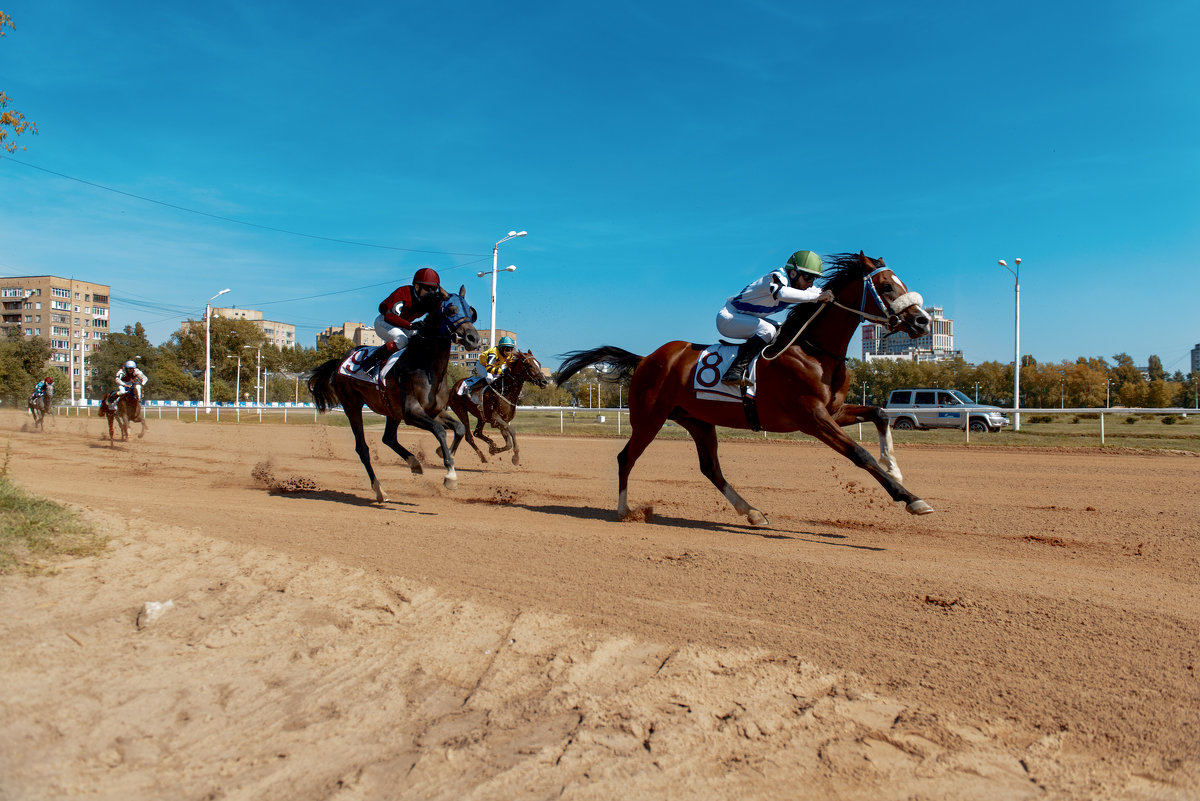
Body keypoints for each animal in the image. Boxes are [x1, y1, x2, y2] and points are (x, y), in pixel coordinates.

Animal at [307, 286, 480, 501]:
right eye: (451, 310)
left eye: (471, 311)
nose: (474, 338)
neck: (426, 364)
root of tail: (341, 360)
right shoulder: (411, 413)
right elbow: (439, 431)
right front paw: (450, 475)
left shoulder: (434, 411)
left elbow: (459, 428)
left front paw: (444, 453)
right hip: (352, 406)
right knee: (362, 448)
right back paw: (380, 490)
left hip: (391, 411)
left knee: (388, 438)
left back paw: (414, 463)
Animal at [554, 250, 936, 525]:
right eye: (886, 287)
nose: (922, 321)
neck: (812, 350)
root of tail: (648, 357)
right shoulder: (811, 417)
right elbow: (860, 453)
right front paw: (912, 499)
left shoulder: (835, 410)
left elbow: (881, 412)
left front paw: (895, 466)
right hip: (649, 417)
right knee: (626, 457)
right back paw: (625, 510)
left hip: (698, 421)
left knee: (710, 468)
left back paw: (751, 511)